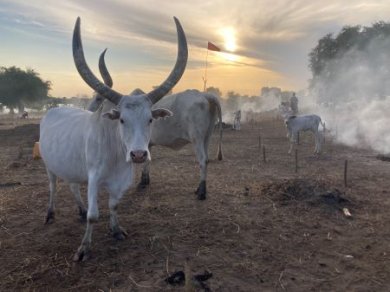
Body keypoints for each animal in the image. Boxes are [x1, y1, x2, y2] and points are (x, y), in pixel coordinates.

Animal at [38, 17, 187, 262]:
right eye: (122, 120)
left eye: (150, 119)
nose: (139, 154)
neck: (115, 152)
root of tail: (54, 110)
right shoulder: (93, 178)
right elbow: (94, 215)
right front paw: (84, 248)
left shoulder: (121, 181)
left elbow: (114, 205)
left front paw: (116, 230)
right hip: (49, 165)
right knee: (53, 187)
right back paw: (50, 214)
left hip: (71, 167)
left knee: (72, 186)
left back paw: (79, 210)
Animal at [88, 53, 222, 201]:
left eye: (98, 99)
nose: (89, 109)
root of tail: (205, 95)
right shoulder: (147, 144)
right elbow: (147, 161)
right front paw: (144, 181)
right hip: (207, 137)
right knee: (207, 159)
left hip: (197, 138)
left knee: (203, 160)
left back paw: (202, 192)